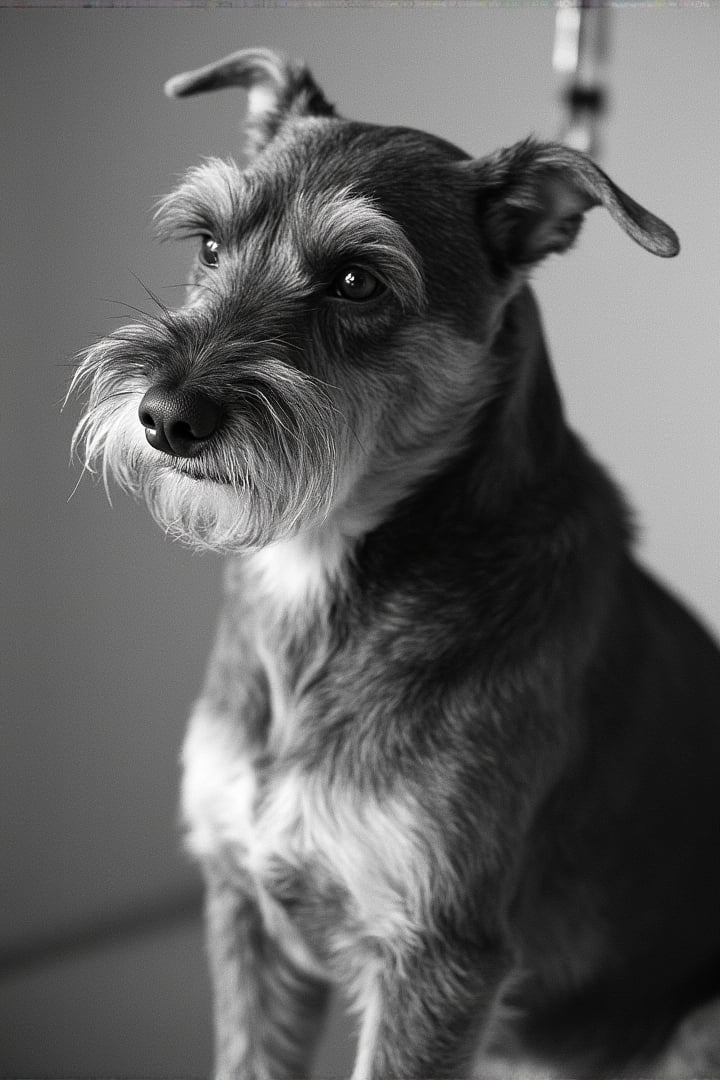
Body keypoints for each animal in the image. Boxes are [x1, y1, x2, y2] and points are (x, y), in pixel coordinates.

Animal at [70, 48, 720, 1080]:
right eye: (208, 244)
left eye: (356, 281)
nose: (167, 416)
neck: (323, 566)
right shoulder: (244, 899)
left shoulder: (437, 955)